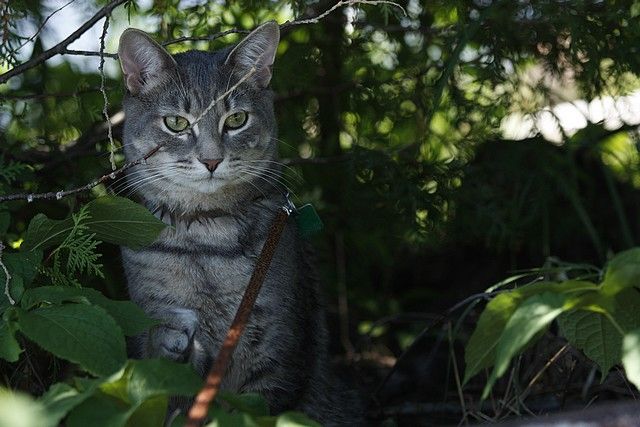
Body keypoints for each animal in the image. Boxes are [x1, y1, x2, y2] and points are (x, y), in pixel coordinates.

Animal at [117, 20, 362, 424]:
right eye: (175, 123)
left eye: (236, 119)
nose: (212, 160)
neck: (207, 237)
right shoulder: (147, 315)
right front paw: (171, 341)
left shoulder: (279, 353)